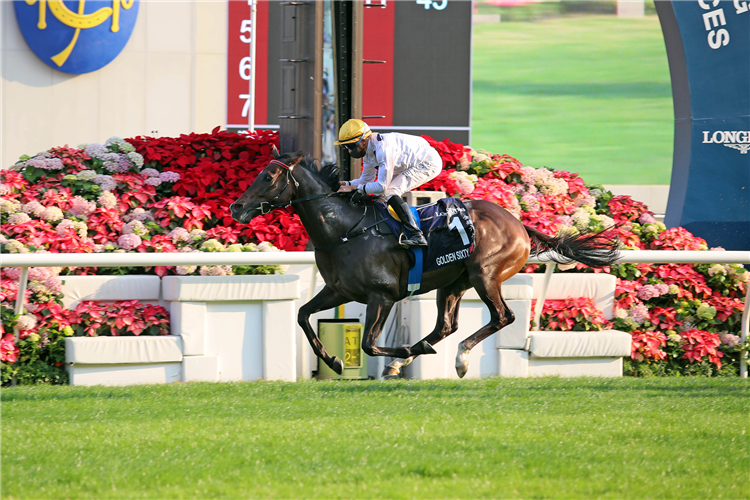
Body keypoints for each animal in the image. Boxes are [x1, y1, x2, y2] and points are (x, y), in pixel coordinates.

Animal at [231, 148, 624, 378]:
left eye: (269, 177)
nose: (236, 207)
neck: (346, 230)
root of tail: (517, 222)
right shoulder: (338, 290)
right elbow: (302, 316)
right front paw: (335, 361)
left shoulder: (382, 296)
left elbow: (368, 343)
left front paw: (400, 350)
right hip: (452, 283)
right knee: (446, 326)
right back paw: (413, 355)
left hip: (485, 275)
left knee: (503, 317)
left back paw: (454, 358)